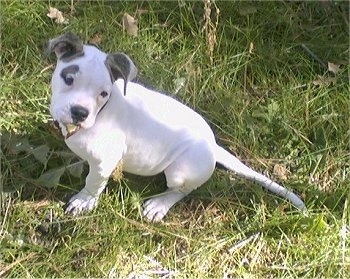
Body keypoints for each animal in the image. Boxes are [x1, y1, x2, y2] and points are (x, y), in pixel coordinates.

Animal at [45, 32, 304, 222]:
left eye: (103, 94)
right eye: (69, 79)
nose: (80, 112)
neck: (100, 114)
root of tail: (213, 146)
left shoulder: (104, 162)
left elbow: (93, 182)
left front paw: (84, 201)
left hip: (180, 171)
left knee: (182, 190)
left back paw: (159, 204)